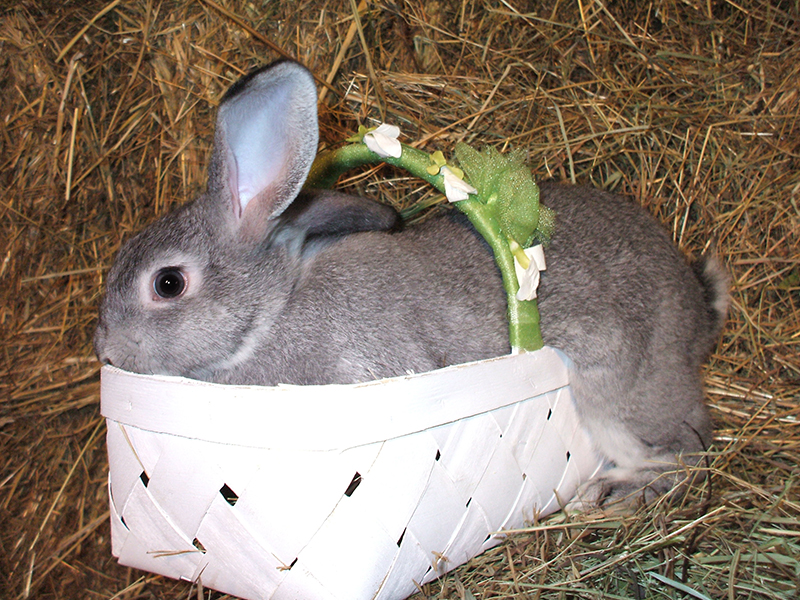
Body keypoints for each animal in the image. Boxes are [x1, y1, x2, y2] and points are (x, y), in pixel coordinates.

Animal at [94, 60, 729, 506]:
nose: (103, 348)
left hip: (615, 397)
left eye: (168, 283)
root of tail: (699, 318)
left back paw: (607, 494)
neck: (271, 314)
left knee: (685, 452)